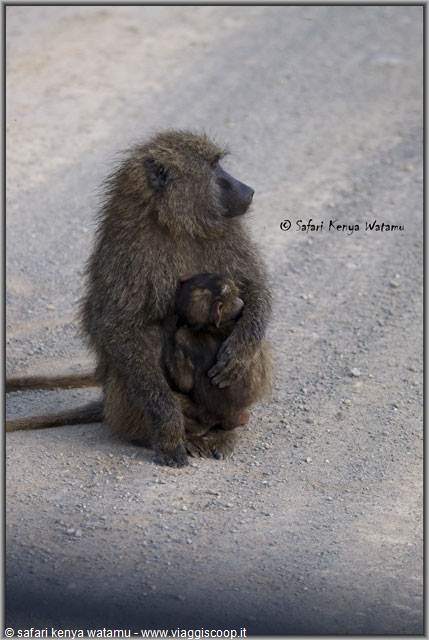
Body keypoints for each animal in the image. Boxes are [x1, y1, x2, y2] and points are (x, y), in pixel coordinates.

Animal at [164, 273, 272, 435]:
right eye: (233, 296)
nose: (241, 301)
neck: (212, 327)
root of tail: (225, 418)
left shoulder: (182, 335)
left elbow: (184, 383)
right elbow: (185, 383)